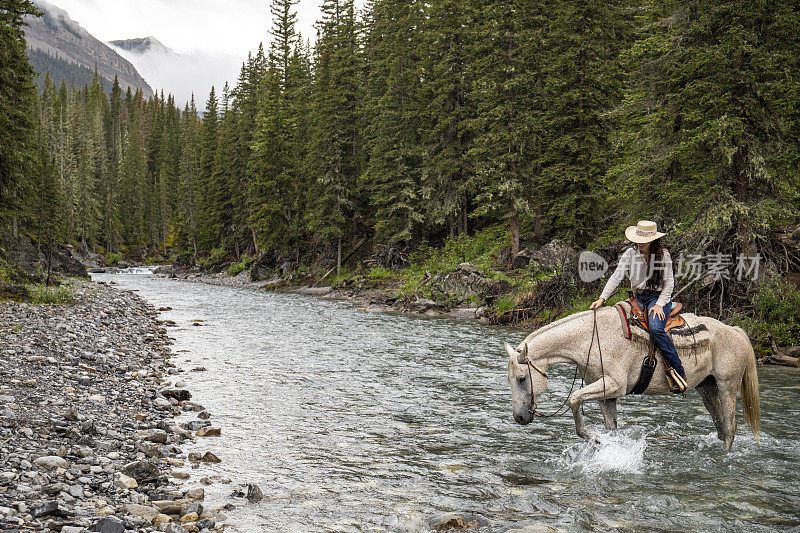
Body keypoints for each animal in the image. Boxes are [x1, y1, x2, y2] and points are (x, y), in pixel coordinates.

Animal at [506, 306, 764, 450]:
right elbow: (611, 428)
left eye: (522, 378)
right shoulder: (605, 394)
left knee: (730, 428)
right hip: (707, 388)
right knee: (721, 427)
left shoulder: (614, 385)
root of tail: (735, 331)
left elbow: (574, 399)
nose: (519, 418)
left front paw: (592, 439)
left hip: (727, 386)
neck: (592, 338)